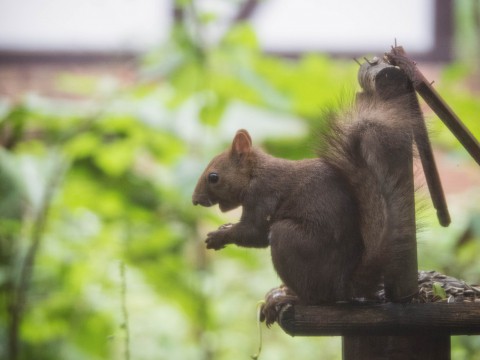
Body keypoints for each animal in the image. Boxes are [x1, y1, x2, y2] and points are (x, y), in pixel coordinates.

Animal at [191, 89, 424, 320]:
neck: (254, 174)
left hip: (289, 239)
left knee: (314, 298)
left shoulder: (262, 196)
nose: (195, 200)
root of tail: (342, 286)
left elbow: (254, 232)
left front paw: (219, 236)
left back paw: (288, 297)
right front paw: (224, 228)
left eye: (213, 177)